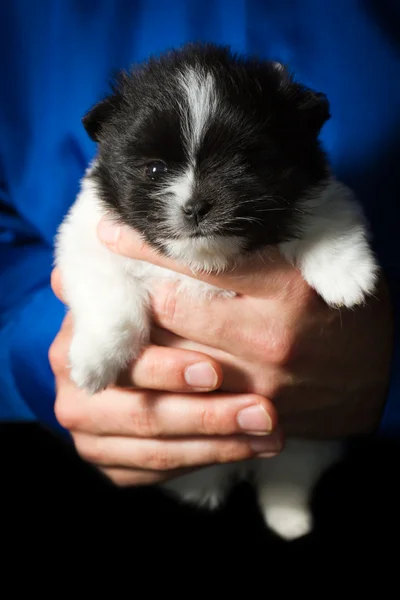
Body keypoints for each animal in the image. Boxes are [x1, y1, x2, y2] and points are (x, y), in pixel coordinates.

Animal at [55, 44, 378, 540]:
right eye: (154, 168)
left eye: (248, 164)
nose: (194, 207)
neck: (205, 262)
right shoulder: (88, 241)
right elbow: (115, 301)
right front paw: (94, 364)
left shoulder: (320, 194)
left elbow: (328, 222)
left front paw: (348, 278)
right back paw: (201, 493)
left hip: (307, 441)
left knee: (287, 476)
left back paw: (290, 519)